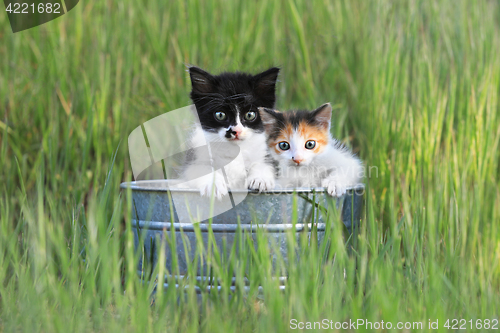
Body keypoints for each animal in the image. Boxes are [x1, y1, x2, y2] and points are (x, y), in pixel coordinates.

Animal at [182, 66, 280, 198]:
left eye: (250, 115)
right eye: (220, 115)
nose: (236, 131)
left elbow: (264, 164)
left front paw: (260, 179)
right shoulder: (194, 158)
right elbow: (200, 169)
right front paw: (214, 185)